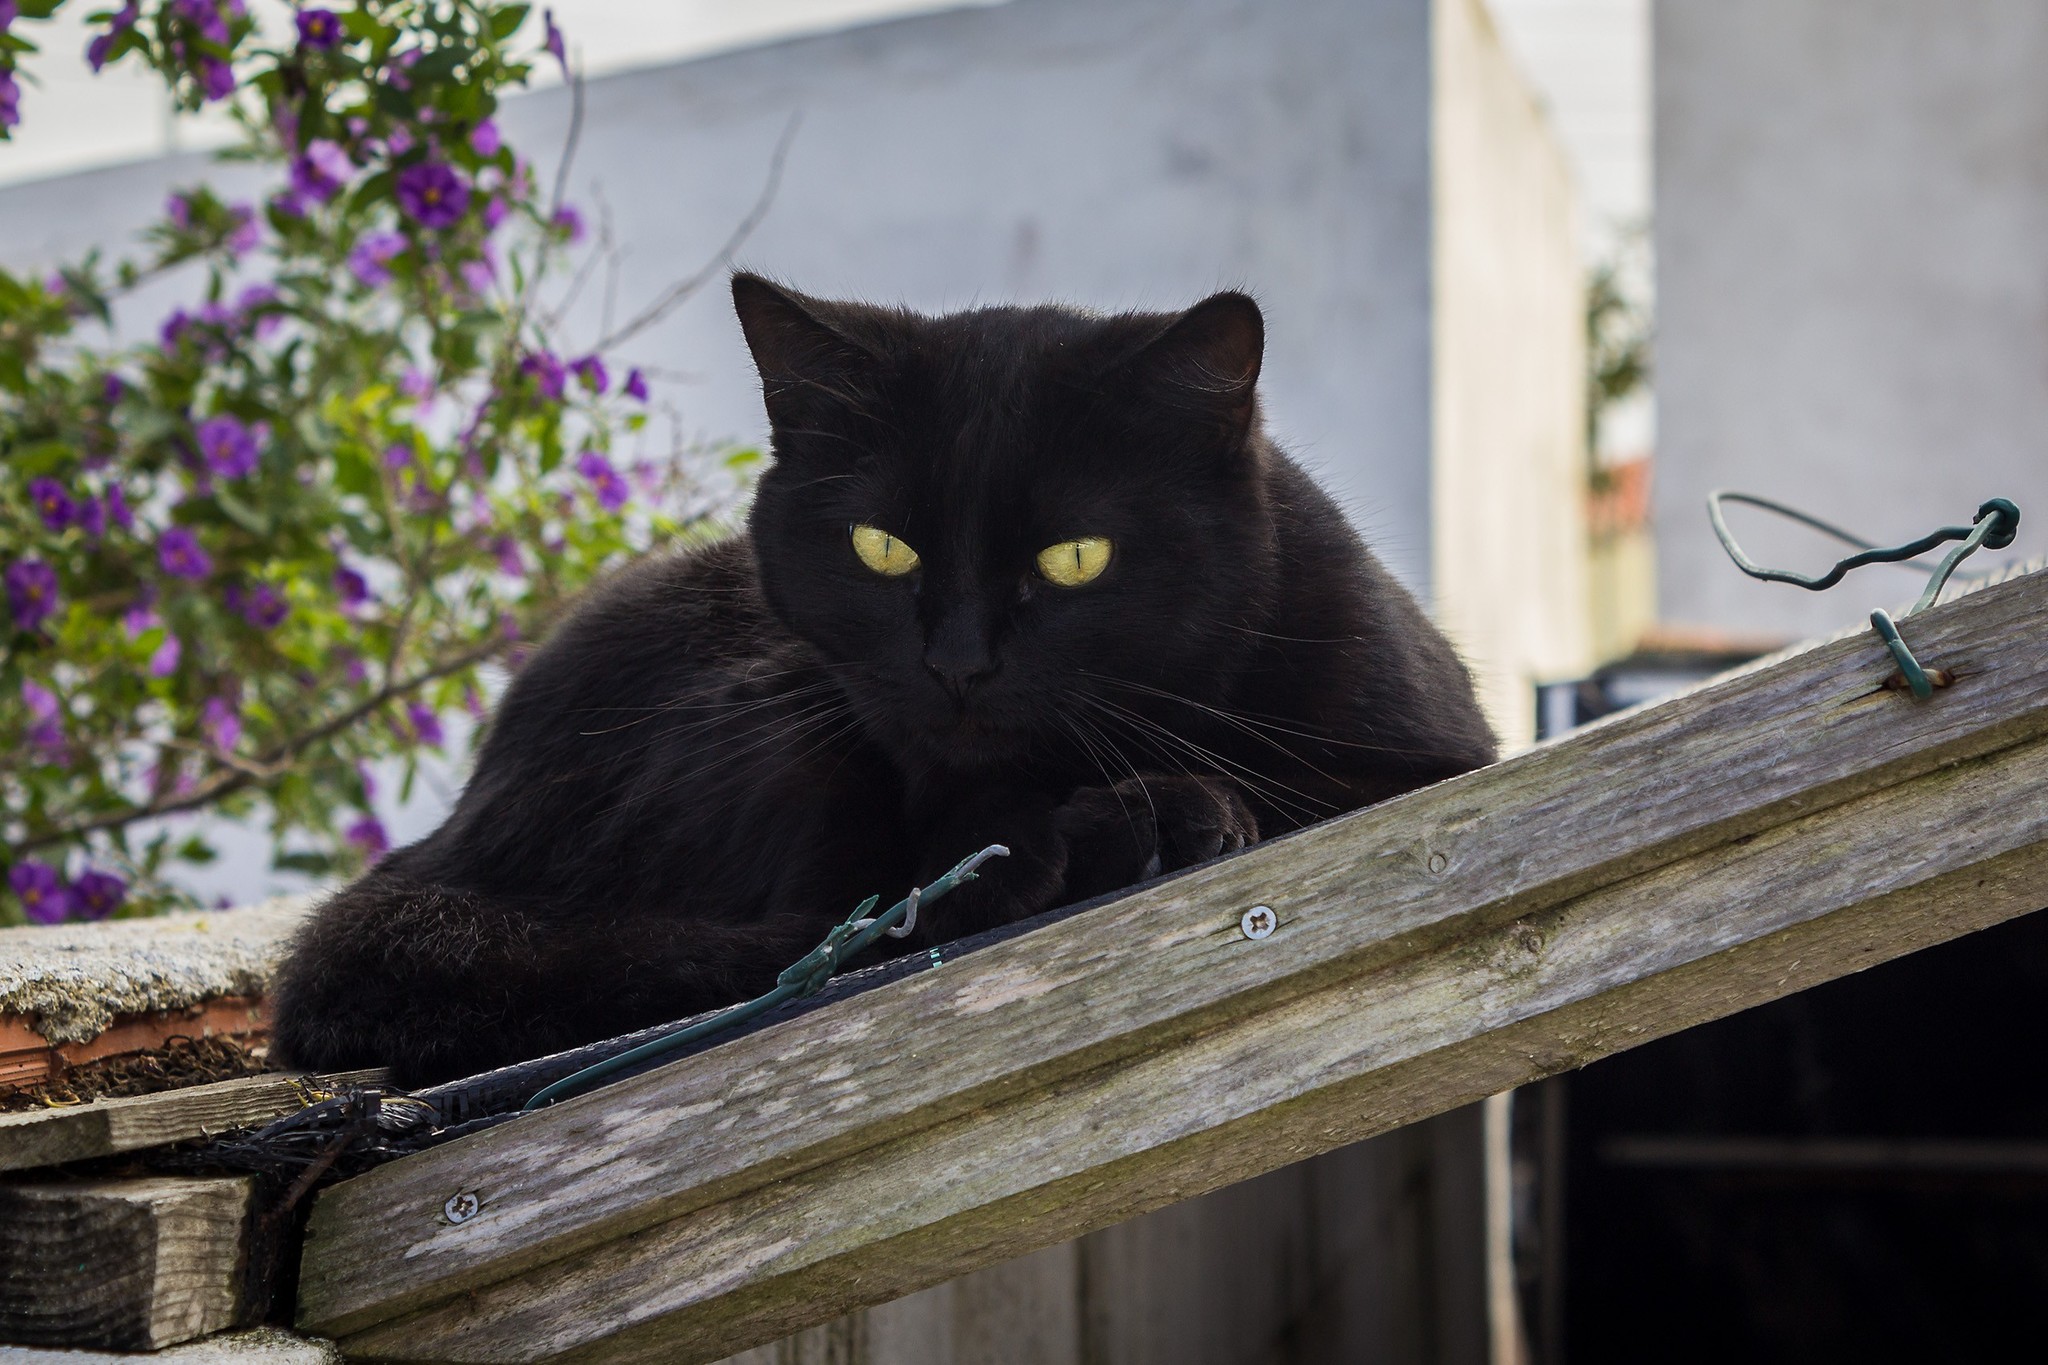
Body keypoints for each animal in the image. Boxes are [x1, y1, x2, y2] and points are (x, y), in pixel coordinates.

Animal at [268, 280, 1490, 1088]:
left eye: (1075, 558)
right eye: (881, 548)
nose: (955, 661)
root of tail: (454, 830)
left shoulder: (1427, 757)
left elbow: (1312, 787)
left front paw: (1152, 809)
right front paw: (1116, 822)